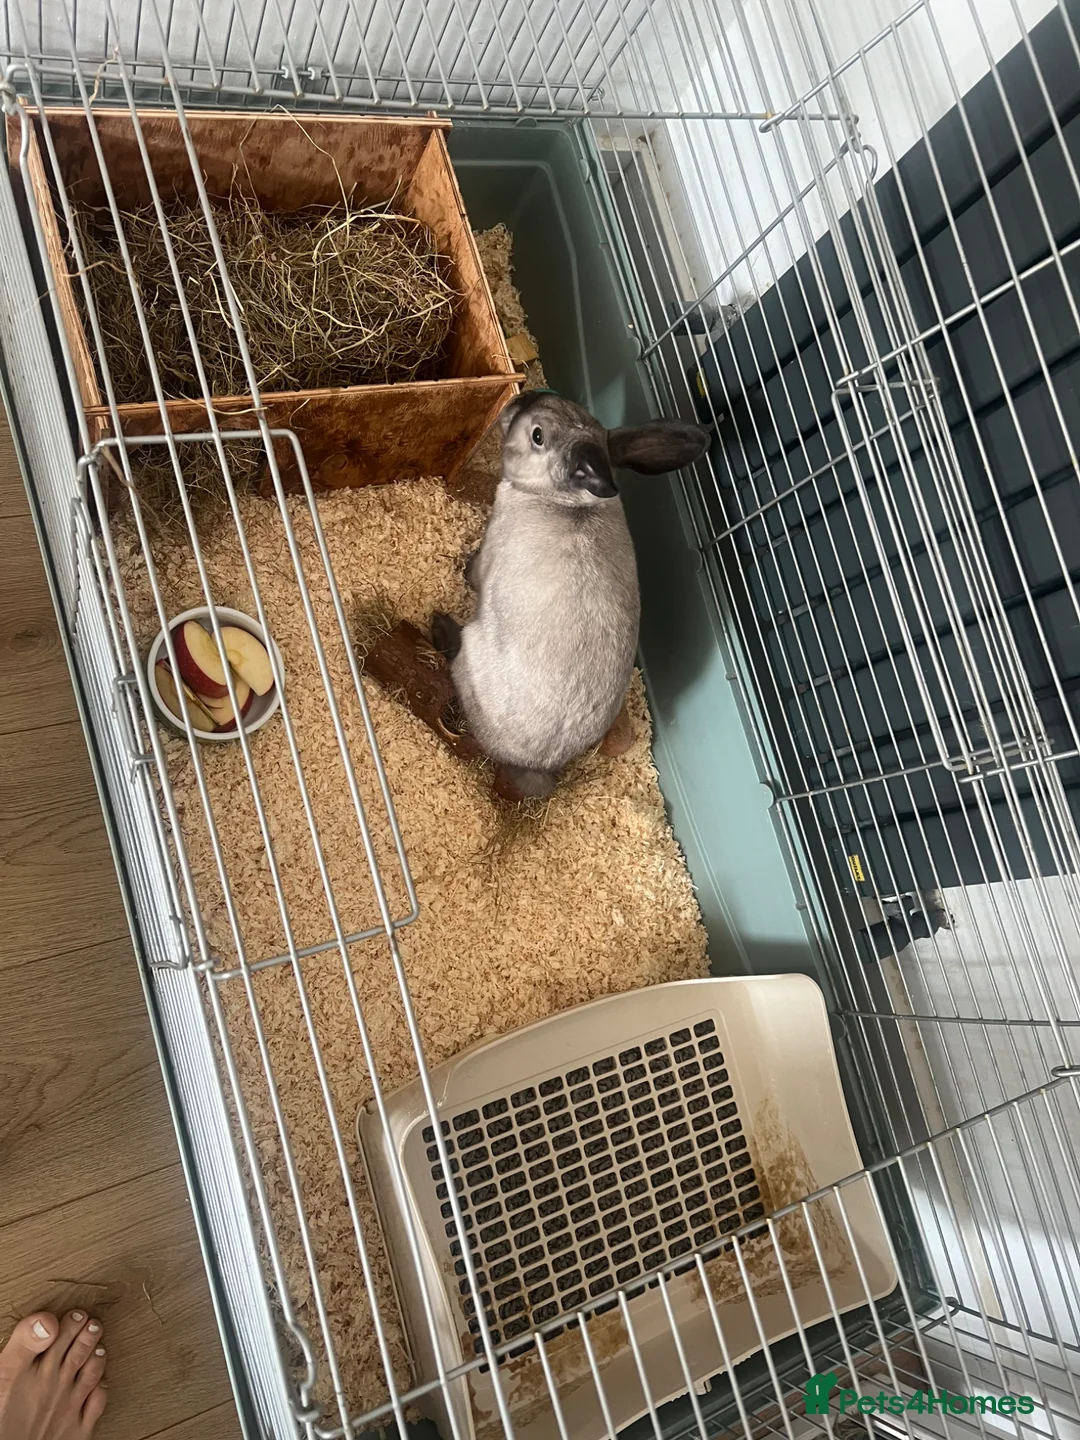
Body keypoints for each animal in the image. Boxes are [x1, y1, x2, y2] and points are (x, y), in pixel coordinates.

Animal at [431, 391, 710, 800]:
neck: (563, 499)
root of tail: (537, 764)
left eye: (537, 435)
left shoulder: (490, 551)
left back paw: (439, 625)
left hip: (472, 648)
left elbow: (476, 571)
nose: (526, 397)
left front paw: (463, 568)